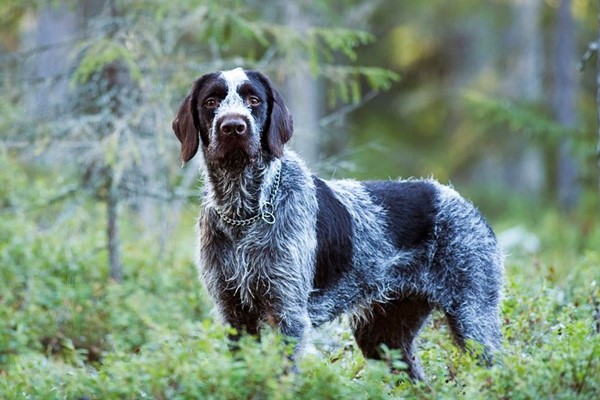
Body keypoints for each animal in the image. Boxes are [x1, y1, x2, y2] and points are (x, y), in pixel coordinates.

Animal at [171, 67, 504, 380]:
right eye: (211, 101)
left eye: (254, 100)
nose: (233, 127)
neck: (244, 210)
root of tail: (464, 203)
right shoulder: (233, 314)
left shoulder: (287, 315)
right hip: (383, 336)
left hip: (474, 322)